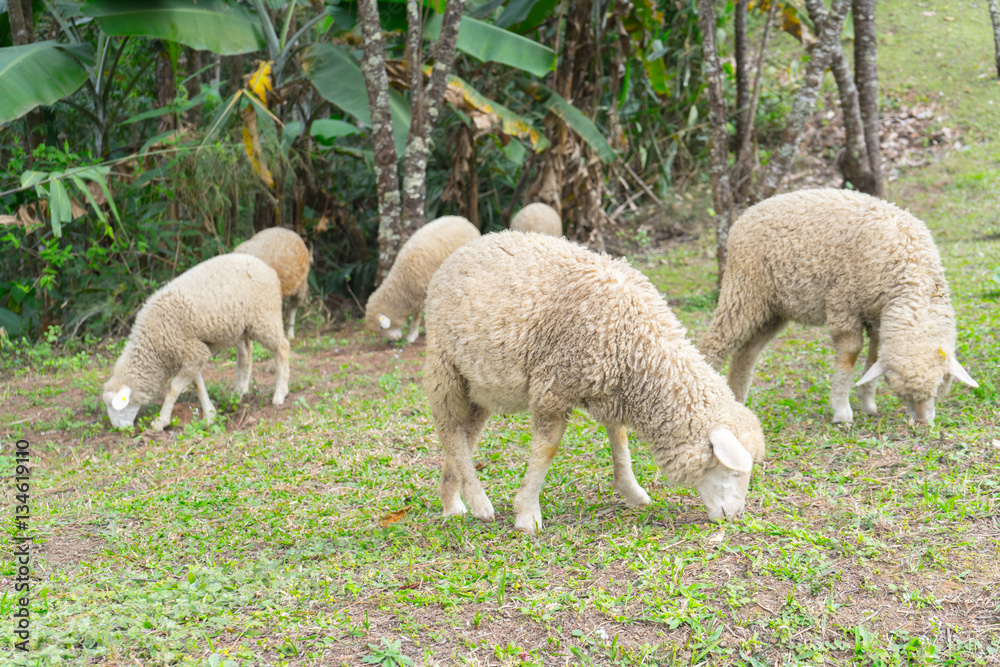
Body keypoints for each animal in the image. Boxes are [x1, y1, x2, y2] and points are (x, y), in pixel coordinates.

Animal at [102, 254, 290, 431]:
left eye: (118, 406)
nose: (118, 429)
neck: (153, 346)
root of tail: (268, 269)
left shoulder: (192, 351)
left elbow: (174, 388)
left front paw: (160, 421)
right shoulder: (193, 354)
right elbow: (198, 384)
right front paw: (210, 415)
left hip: (265, 318)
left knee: (282, 347)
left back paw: (280, 394)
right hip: (242, 327)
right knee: (246, 352)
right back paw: (239, 392)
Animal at [365, 215, 480, 344]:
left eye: (381, 327)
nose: (395, 339)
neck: (402, 281)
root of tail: (464, 220)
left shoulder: (421, 292)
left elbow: (416, 316)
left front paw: (412, 335)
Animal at [423, 231, 766, 534]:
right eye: (733, 472)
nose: (735, 516)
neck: (639, 343)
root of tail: (472, 243)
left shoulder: (610, 385)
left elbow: (620, 437)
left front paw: (632, 491)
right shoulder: (554, 386)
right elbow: (547, 450)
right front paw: (527, 514)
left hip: (480, 384)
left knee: (463, 435)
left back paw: (453, 501)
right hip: (444, 366)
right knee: (449, 429)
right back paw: (478, 502)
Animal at [699, 188, 978, 425]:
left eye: (941, 383)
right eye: (897, 390)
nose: (921, 423)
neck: (910, 270)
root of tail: (746, 215)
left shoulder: (878, 316)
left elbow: (874, 356)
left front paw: (868, 403)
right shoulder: (843, 303)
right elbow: (850, 354)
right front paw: (842, 411)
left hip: (773, 308)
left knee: (746, 353)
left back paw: (738, 402)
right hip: (744, 291)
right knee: (714, 345)